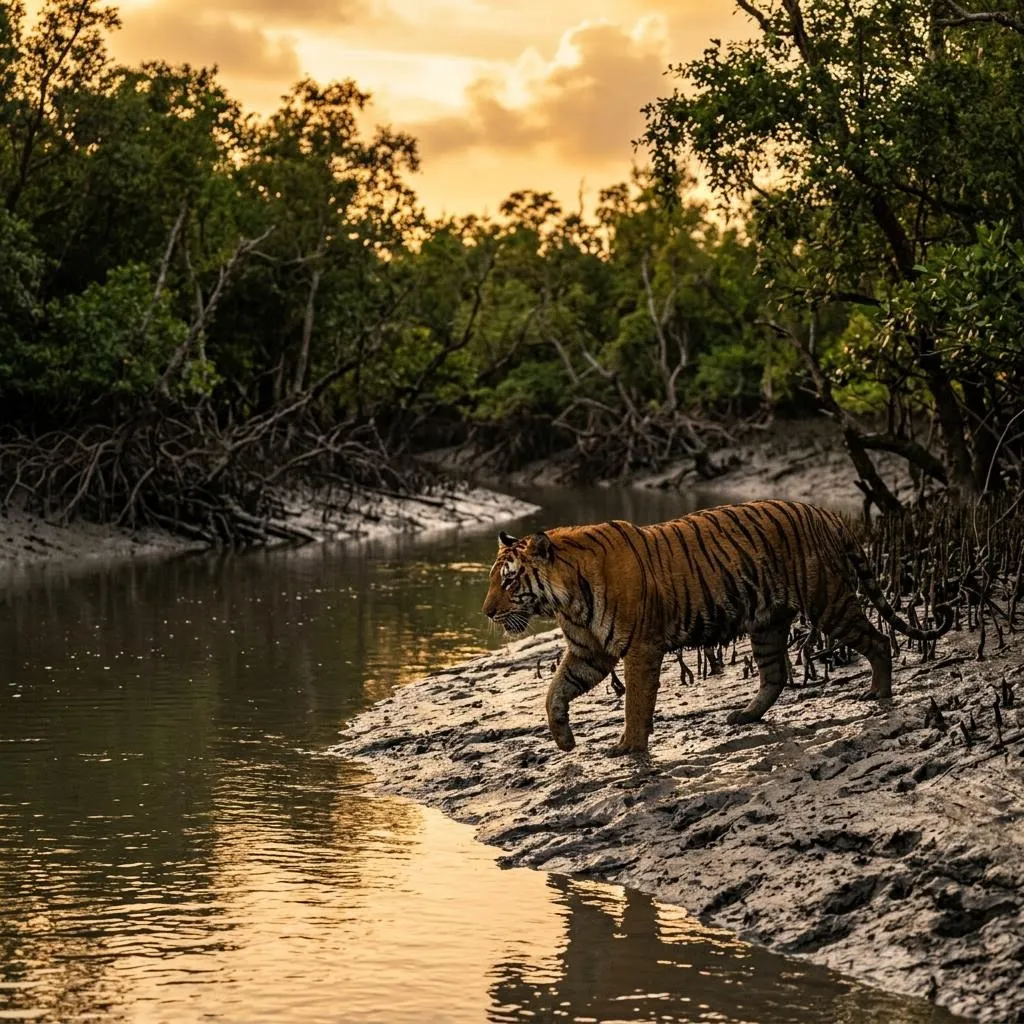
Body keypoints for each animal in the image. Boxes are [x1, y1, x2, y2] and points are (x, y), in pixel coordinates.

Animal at [481, 499, 952, 755]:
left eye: (509, 581)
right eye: (492, 579)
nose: (486, 612)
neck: (566, 599)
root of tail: (826, 513)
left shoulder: (641, 648)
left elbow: (636, 702)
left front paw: (629, 747)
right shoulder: (589, 652)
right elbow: (554, 692)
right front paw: (564, 740)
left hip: (828, 602)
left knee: (878, 639)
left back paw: (879, 692)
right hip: (766, 623)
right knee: (775, 674)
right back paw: (745, 715)